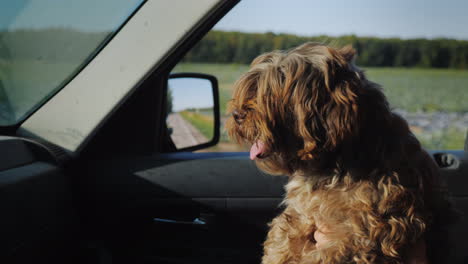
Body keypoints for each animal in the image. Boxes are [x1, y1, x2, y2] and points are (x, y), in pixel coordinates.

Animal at [227, 43, 454, 264]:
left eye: (271, 92)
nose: (236, 114)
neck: (337, 161)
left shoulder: (369, 231)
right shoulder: (301, 214)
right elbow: (282, 237)